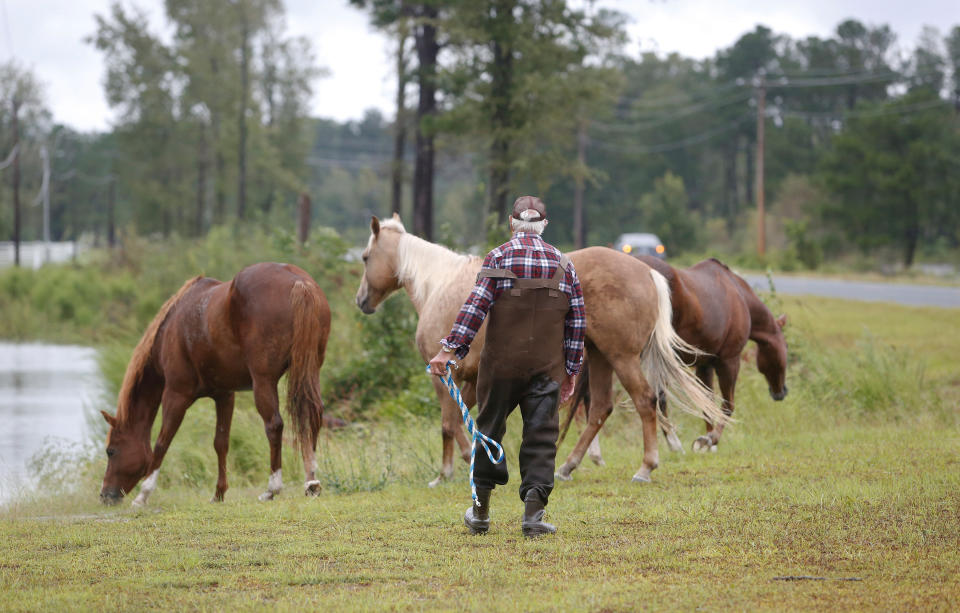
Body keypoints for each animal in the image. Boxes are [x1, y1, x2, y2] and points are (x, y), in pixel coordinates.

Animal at [98, 260, 330, 504]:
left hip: (264, 382)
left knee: (274, 425)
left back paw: (272, 488)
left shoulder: (176, 394)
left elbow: (162, 441)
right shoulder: (224, 395)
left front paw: (143, 495)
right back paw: (312, 482)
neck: (171, 328)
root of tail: (300, 283)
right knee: (312, 416)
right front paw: (219, 493)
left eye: (111, 451)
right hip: (310, 371)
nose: (105, 495)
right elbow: (221, 442)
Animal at [356, 215, 724, 488]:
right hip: (599, 357)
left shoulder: (446, 375)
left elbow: (449, 422)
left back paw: (645, 467)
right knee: (600, 409)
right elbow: (464, 421)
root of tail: (646, 271)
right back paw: (568, 466)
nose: (361, 301)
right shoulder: (474, 380)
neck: (439, 285)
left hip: (621, 358)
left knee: (645, 402)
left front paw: (447, 472)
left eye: (365, 257)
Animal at [564, 256, 788, 462]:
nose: (781, 392)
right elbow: (727, 406)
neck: (737, 294)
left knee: (591, 397)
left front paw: (707, 442)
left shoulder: (704, 365)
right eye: (784, 349)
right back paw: (671, 444)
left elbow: (707, 404)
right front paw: (710, 440)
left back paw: (594, 453)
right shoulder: (729, 360)